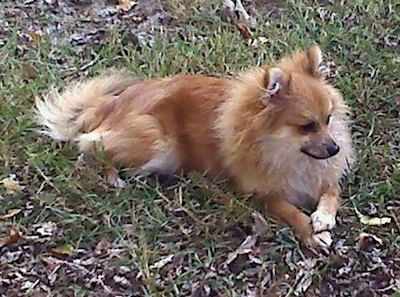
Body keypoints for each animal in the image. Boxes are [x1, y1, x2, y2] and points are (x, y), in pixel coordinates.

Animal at [33, 44, 354, 247]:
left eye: (328, 119)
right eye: (306, 126)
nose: (335, 148)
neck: (287, 152)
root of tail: (108, 104)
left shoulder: (325, 174)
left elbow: (332, 191)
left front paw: (323, 216)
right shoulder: (264, 195)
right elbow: (291, 212)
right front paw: (311, 232)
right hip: (156, 140)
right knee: (91, 145)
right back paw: (114, 177)